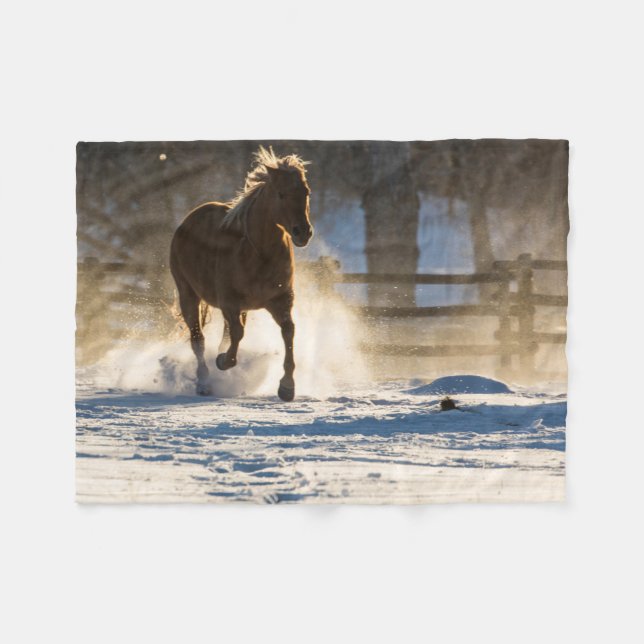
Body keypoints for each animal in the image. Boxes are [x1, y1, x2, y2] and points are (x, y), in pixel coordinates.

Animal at [169, 147, 313, 401]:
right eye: (281, 194)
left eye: (306, 192)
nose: (302, 233)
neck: (259, 253)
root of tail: (186, 222)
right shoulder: (230, 302)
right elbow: (237, 334)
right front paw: (222, 361)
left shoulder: (281, 300)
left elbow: (288, 331)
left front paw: (287, 387)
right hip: (188, 294)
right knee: (198, 339)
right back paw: (204, 383)